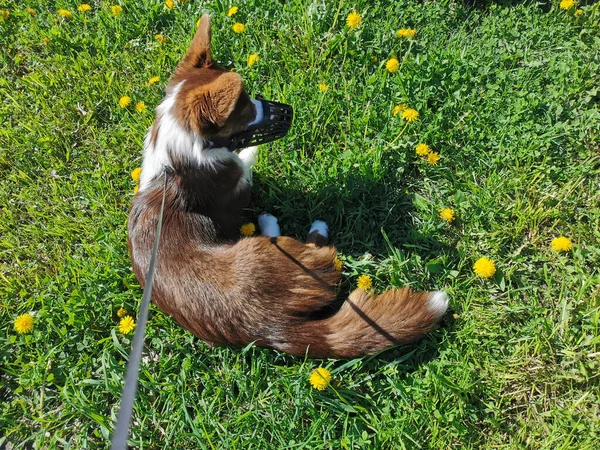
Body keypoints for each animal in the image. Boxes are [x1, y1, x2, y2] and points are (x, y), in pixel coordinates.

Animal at [129, 14, 448, 358]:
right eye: (245, 108)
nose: (289, 111)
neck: (177, 157)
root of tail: (269, 328)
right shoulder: (238, 183)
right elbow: (243, 164)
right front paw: (248, 153)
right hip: (276, 252)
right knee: (321, 252)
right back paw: (295, 225)